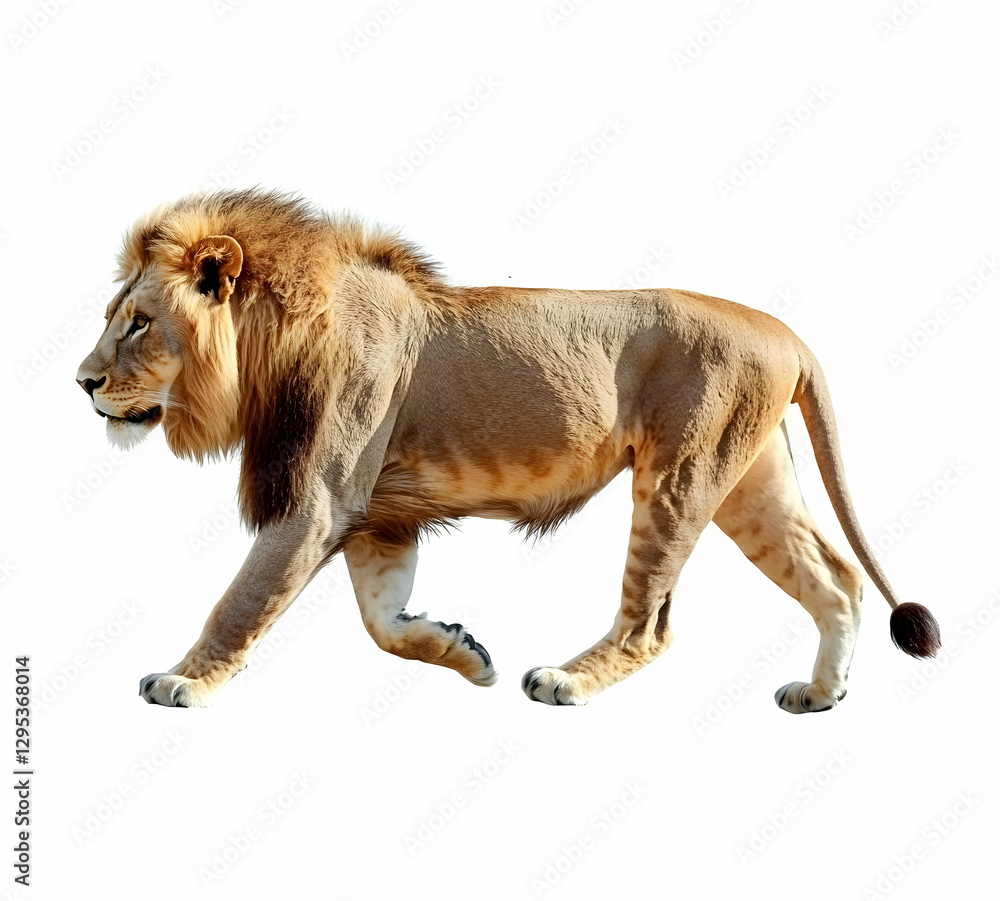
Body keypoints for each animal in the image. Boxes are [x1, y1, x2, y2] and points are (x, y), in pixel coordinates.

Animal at [76, 188, 940, 711]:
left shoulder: (317, 500)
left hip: (678, 475)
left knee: (651, 624)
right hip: (752, 481)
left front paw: (183, 679)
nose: (82, 382)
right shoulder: (379, 516)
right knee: (836, 578)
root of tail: (787, 332)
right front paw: (462, 650)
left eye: (139, 322)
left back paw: (566, 679)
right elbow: (381, 619)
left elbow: (242, 600)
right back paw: (820, 694)